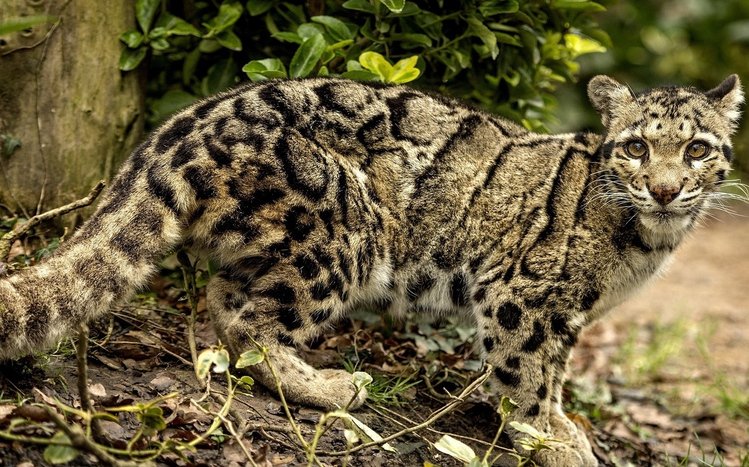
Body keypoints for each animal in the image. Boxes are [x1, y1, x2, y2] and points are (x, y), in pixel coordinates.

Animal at [0, 74, 742, 466]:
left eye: (698, 149)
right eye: (637, 147)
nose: (667, 189)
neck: (648, 243)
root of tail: (184, 124)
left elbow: (550, 376)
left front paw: (565, 428)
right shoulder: (527, 300)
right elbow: (530, 378)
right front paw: (553, 441)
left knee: (221, 300)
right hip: (340, 234)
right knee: (252, 320)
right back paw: (332, 387)